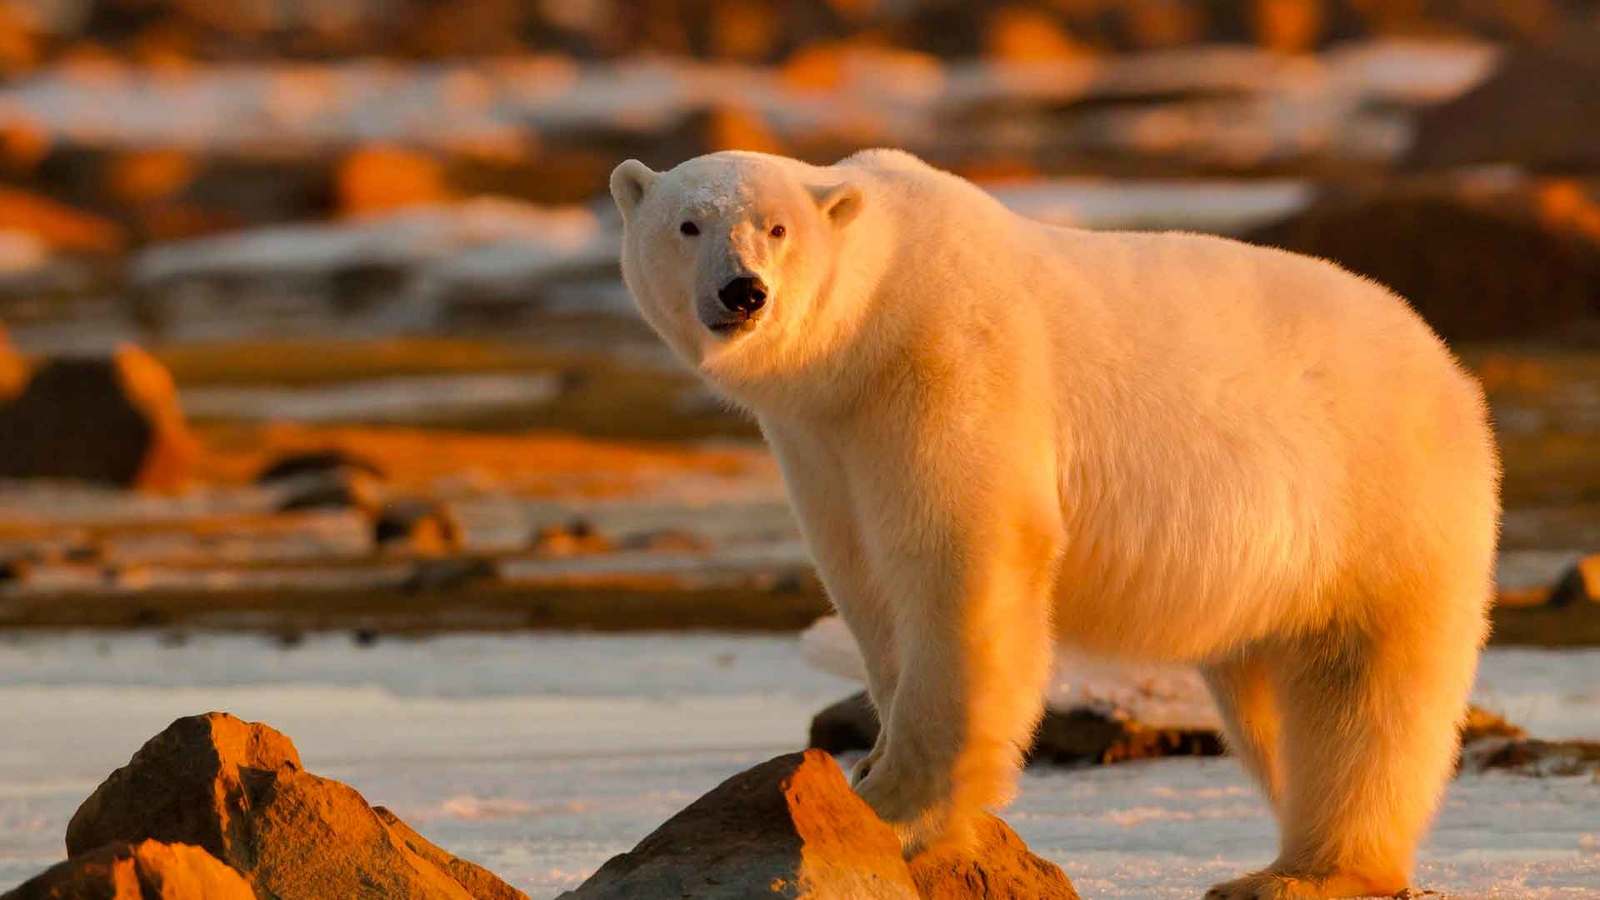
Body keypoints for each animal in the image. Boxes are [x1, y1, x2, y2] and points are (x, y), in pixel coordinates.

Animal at [608, 150, 1497, 890]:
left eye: (778, 227)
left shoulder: (947, 362)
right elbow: (865, 581)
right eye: (688, 225)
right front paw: (868, 770)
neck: (868, 326)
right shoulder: (822, 438)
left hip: (1378, 500)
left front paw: (893, 807)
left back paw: (1306, 873)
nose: (743, 291)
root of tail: (1448, 367)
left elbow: (966, 556)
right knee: (1271, 699)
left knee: (1363, 691)